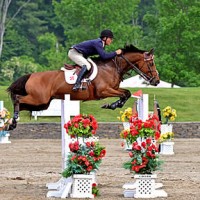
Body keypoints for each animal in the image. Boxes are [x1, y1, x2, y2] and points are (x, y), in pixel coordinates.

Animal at [6, 44, 159, 130]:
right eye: (151, 63)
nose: (156, 81)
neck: (112, 67)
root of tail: (31, 75)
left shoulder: (112, 89)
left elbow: (126, 93)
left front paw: (112, 105)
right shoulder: (103, 91)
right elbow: (124, 94)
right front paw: (111, 105)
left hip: (42, 103)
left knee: (22, 103)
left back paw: (13, 122)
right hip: (39, 99)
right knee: (18, 98)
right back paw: (13, 120)